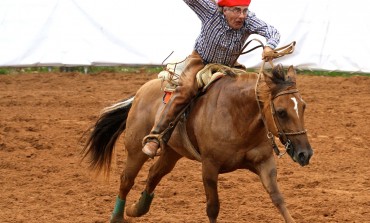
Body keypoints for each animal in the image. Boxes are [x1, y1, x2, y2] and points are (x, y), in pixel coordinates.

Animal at [81, 63, 312, 223]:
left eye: (303, 106)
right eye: (281, 112)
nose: (305, 154)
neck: (238, 115)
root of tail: (141, 92)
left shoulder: (265, 163)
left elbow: (278, 198)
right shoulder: (209, 167)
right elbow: (213, 207)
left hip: (172, 153)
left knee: (154, 174)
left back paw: (137, 209)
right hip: (136, 150)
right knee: (127, 179)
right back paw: (118, 216)